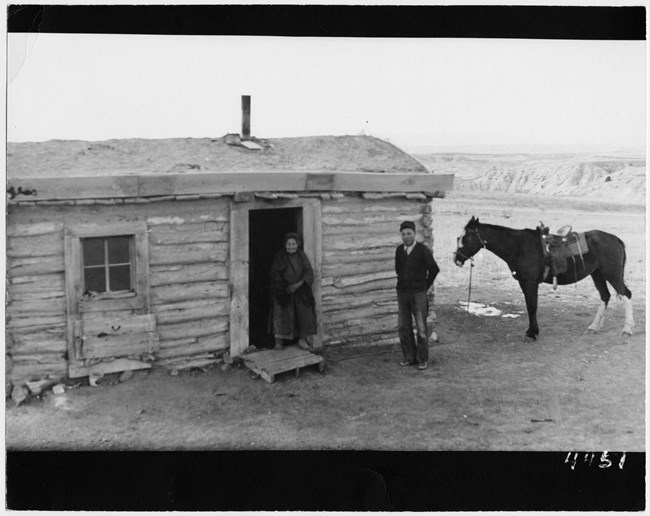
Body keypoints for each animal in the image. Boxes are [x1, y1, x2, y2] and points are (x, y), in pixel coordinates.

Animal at [454, 216, 632, 340]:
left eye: (466, 238)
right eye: (458, 237)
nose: (456, 259)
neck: (519, 246)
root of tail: (616, 239)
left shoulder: (531, 283)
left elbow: (532, 306)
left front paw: (532, 334)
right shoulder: (524, 283)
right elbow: (529, 306)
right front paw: (531, 331)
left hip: (612, 274)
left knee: (626, 294)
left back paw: (627, 329)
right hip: (598, 275)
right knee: (605, 296)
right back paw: (594, 327)